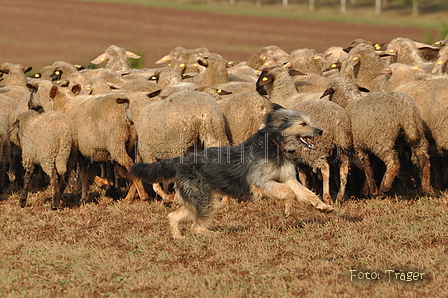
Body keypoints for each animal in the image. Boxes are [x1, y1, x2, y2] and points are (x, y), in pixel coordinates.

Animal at [128, 103, 330, 239]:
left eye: (309, 122)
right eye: (303, 124)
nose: (320, 131)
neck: (275, 144)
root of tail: (182, 160)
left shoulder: (287, 178)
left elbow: (304, 192)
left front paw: (323, 206)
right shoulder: (261, 182)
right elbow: (288, 192)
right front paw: (287, 207)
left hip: (201, 199)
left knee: (174, 216)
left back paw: (178, 236)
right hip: (203, 199)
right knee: (195, 226)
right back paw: (214, 234)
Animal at [258, 66, 352, 204]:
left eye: (264, 73)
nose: (257, 88)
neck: (287, 98)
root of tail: (337, 121)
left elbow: (301, 175)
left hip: (317, 148)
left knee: (325, 168)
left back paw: (327, 197)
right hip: (344, 146)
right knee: (344, 170)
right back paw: (339, 198)